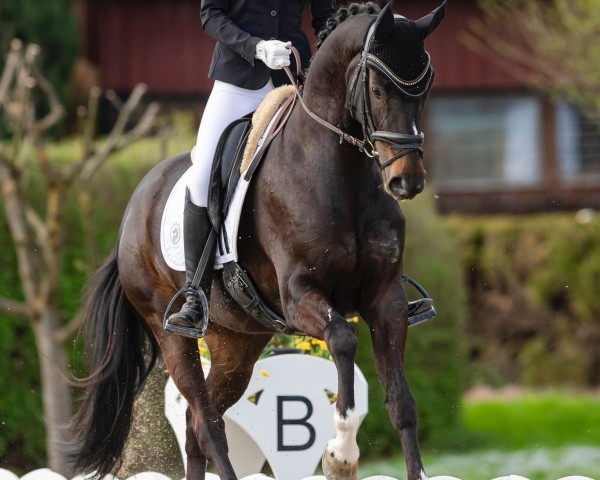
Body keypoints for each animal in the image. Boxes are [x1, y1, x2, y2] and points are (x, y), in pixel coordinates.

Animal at [68, 3, 448, 480]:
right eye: (378, 90)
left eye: (424, 90)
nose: (406, 182)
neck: (341, 175)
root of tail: (134, 208)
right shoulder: (300, 294)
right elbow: (344, 340)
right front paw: (341, 452)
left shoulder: (386, 299)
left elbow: (403, 405)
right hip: (169, 329)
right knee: (206, 418)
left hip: (238, 342)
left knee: (198, 421)